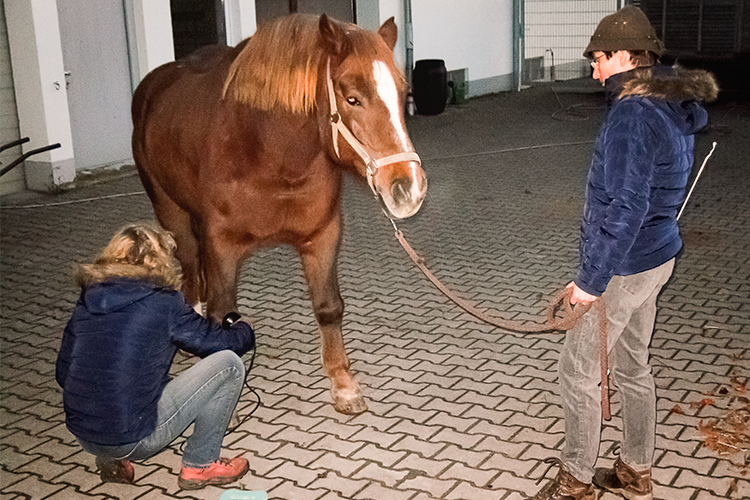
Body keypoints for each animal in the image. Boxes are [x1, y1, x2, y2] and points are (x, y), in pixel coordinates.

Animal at [131, 14, 426, 414]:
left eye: (401, 92)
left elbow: (329, 307)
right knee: (190, 268)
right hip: (172, 214)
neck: (270, 152)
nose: (408, 187)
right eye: (352, 98)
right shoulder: (221, 246)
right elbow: (221, 318)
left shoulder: (322, 235)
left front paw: (343, 384)